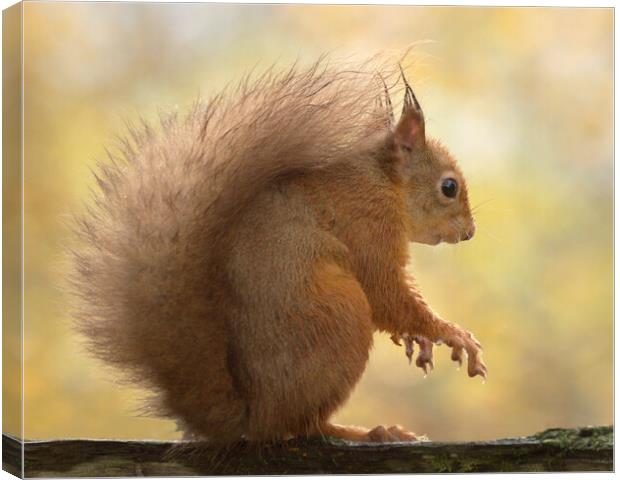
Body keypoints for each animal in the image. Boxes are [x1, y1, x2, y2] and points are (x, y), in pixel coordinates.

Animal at [68, 58, 484, 444]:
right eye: (448, 187)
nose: (469, 233)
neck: (384, 181)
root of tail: (251, 417)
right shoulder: (369, 224)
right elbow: (387, 294)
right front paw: (451, 334)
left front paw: (421, 341)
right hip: (342, 317)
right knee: (303, 425)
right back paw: (370, 432)